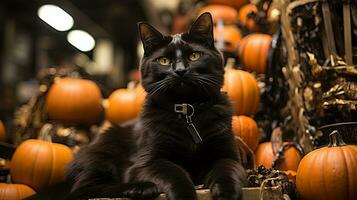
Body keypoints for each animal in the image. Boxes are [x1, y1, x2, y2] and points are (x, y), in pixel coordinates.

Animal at [65, 12, 246, 200]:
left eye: (194, 56)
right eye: (164, 60)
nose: (180, 71)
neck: (187, 111)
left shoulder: (227, 156)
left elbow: (227, 171)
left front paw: (226, 193)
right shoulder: (149, 161)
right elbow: (175, 173)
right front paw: (185, 195)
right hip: (102, 155)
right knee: (83, 190)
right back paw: (141, 188)